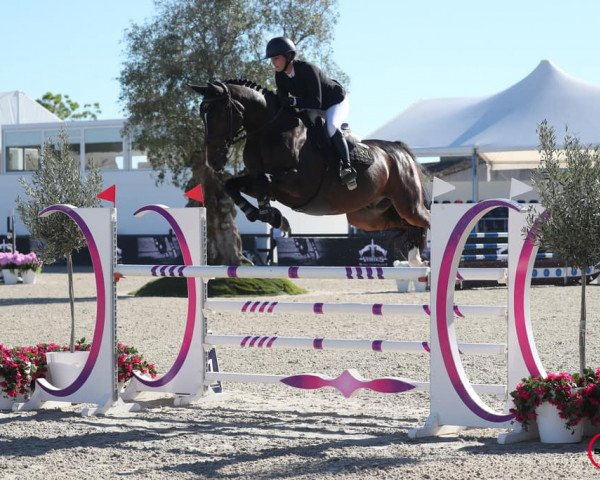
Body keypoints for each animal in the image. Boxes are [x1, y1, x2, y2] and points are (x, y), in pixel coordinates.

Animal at [190, 79, 428, 266]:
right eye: (202, 113)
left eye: (221, 113)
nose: (213, 161)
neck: (268, 131)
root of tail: (397, 149)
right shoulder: (260, 180)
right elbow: (233, 185)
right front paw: (266, 215)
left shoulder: (299, 185)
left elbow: (263, 179)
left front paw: (275, 217)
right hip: (367, 216)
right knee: (406, 225)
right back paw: (415, 256)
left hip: (408, 204)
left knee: (424, 219)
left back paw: (423, 257)